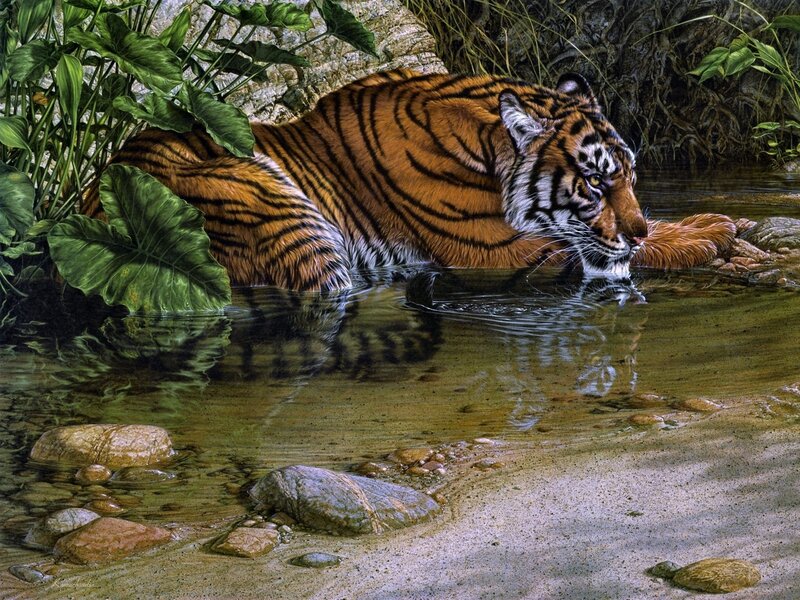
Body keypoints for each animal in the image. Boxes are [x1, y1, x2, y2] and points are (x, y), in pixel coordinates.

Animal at [85, 68, 735, 290]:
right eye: (597, 185)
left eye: (631, 179)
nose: (637, 228)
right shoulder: (500, 251)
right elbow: (612, 252)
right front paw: (707, 233)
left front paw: (711, 220)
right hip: (280, 213)